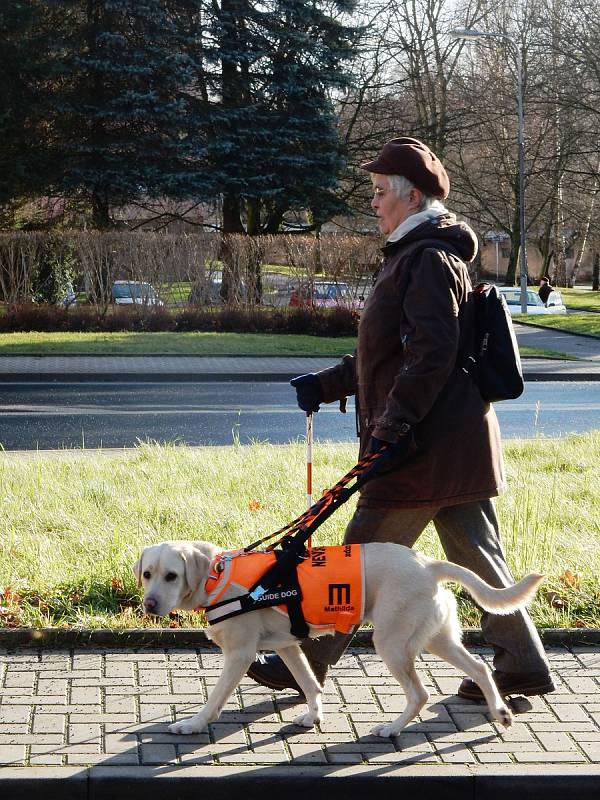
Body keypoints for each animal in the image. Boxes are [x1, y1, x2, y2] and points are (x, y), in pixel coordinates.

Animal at [132, 540, 544, 740]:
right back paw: (500, 711)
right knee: (480, 669)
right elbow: (310, 684)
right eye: (148, 574)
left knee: (421, 694)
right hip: (436, 639)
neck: (218, 576)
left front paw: (194, 725)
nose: (149, 604)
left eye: (171, 576)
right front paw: (313, 716)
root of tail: (428, 563)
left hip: (391, 643)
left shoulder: (239, 654)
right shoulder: (287, 645)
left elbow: (214, 699)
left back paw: (392, 729)